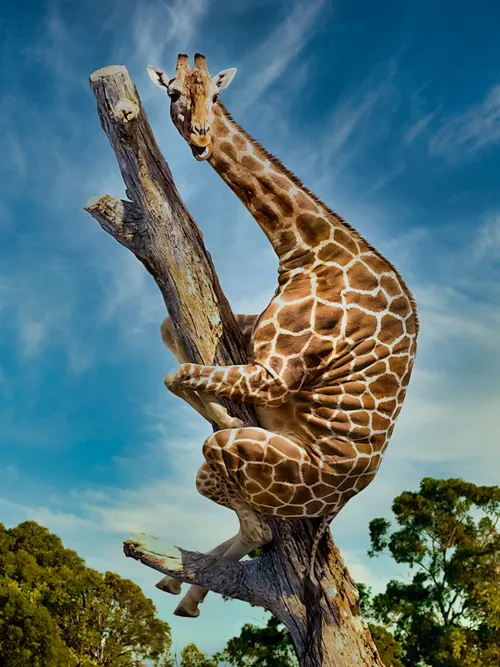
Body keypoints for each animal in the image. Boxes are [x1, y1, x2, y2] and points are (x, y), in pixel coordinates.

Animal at [148, 54, 419, 618]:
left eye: (215, 96)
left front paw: (225, 411)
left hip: (249, 462)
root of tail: (341, 500)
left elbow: (177, 374)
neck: (307, 249)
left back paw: (187, 588)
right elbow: (170, 339)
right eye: (173, 93)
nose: (201, 139)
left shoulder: (274, 374)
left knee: (256, 524)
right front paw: (217, 404)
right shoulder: (250, 340)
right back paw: (180, 591)